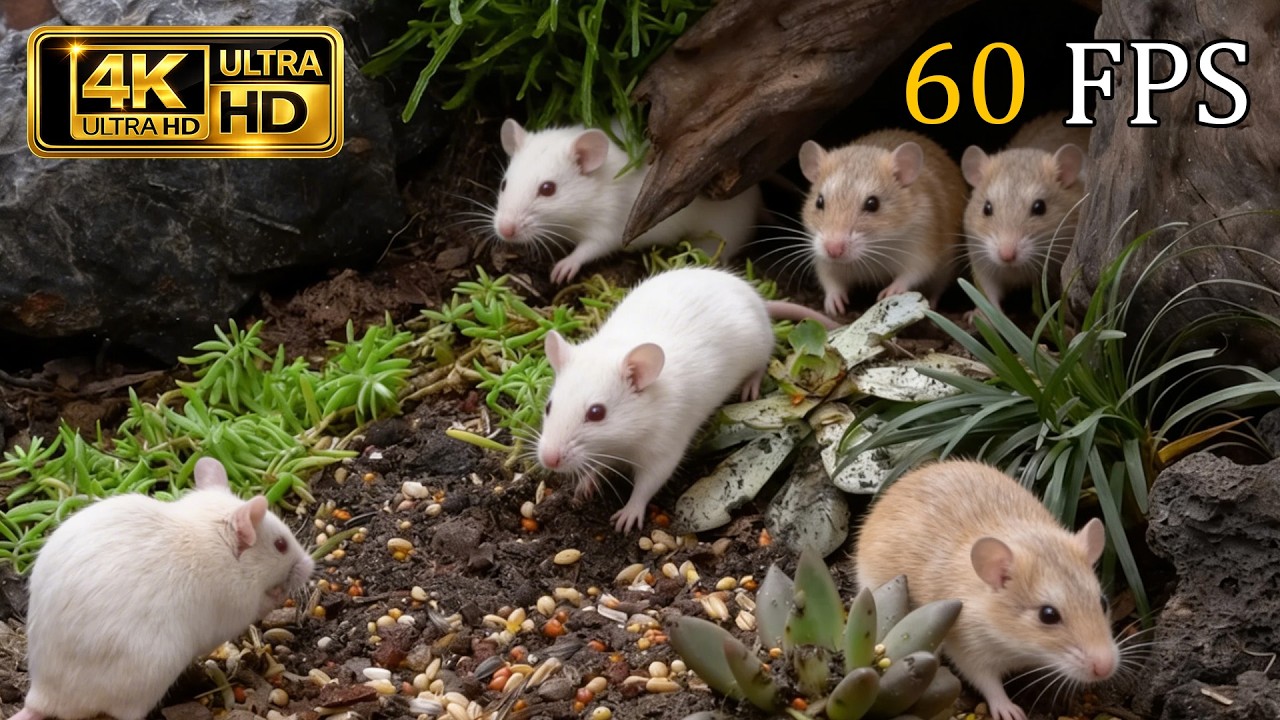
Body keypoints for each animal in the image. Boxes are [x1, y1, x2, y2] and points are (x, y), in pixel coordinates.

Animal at [11, 457, 315, 720]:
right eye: (280, 545)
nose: (312, 567)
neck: (215, 540)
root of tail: (41, 698)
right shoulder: (239, 606)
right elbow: (261, 604)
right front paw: (279, 594)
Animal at [492, 118, 763, 284]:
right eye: (504, 184)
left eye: (548, 189)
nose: (504, 231)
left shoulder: (610, 224)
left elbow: (591, 247)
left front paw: (565, 266)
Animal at [535, 267, 836, 533]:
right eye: (549, 407)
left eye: (597, 413)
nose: (548, 460)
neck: (624, 442)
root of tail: (754, 297)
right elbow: (595, 465)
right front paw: (585, 483)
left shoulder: (664, 449)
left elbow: (647, 484)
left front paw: (628, 514)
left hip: (760, 347)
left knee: (762, 363)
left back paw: (750, 385)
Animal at [798, 130, 967, 316]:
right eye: (819, 202)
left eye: (872, 204)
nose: (833, 250)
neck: (874, 251)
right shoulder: (823, 260)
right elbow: (830, 281)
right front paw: (833, 305)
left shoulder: (922, 248)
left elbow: (911, 274)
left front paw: (889, 292)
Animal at [853, 460, 1119, 720]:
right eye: (1048, 615)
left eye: (1103, 603)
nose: (1106, 668)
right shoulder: (969, 649)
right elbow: (988, 683)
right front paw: (1011, 712)